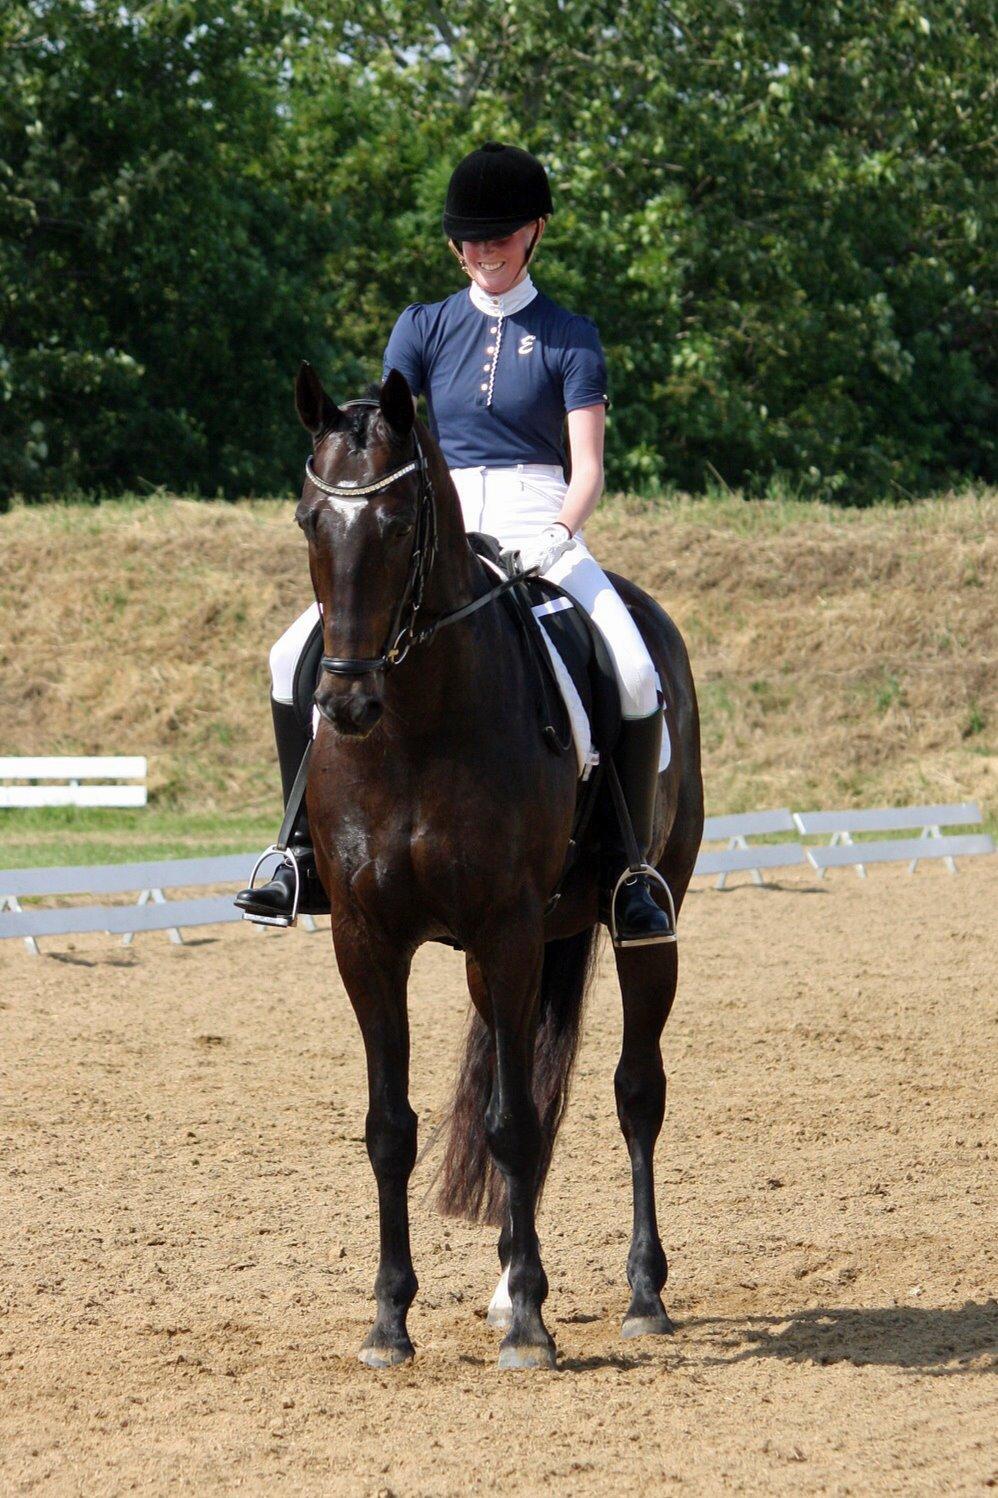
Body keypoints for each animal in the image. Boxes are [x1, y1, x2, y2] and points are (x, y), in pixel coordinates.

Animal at [292, 362, 704, 1372]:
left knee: (636, 1092)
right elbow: (391, 1128)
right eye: (310, 519)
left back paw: (639, 1293)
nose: (345, 702)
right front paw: (389, 1321)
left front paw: (529, 1327)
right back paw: (508, 1278)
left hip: (644, 921)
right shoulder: (367, 941)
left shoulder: (506, 932)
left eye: (399, 526)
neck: (412, 727)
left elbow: (515, 1123)